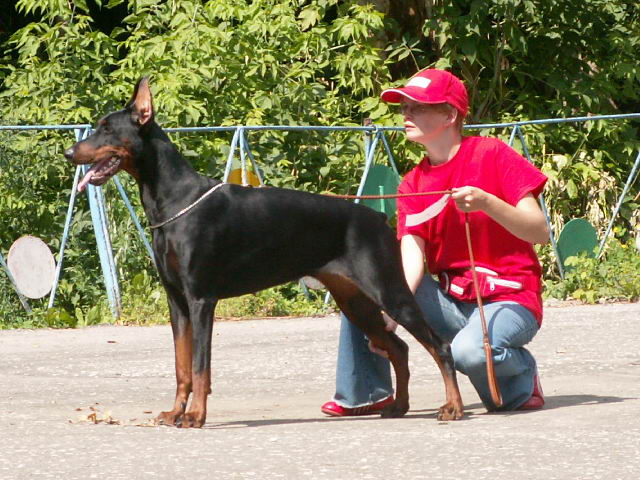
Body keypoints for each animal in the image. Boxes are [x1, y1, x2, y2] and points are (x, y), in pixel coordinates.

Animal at [64, 77, 463, 428]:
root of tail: (379, 217)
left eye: (107, 129)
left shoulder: (201, 299)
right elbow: (181, 366)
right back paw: (399, 406)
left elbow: (200, 365)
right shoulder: (176, 300)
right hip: (354, 301)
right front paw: (175, 412)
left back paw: (453, 408)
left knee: (439, 345)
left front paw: (195, 416)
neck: (175, 201)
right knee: (399, 348)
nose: (69, 152)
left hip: (388, 290)